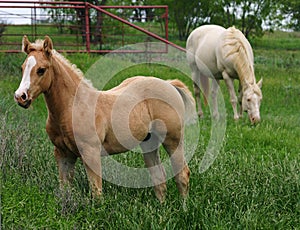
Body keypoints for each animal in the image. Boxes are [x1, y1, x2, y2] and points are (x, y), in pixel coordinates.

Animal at [14, 35, 197, 202]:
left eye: (41, 69)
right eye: (22, 68)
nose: (20, 97)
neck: (72, 107)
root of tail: (169, 84)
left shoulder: (90, 153)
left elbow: (97, 193)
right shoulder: (63, 154)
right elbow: (65, 190)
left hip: (173, 139)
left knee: (182, 175)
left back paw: (183, 210)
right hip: (149, 142)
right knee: (159, 178)